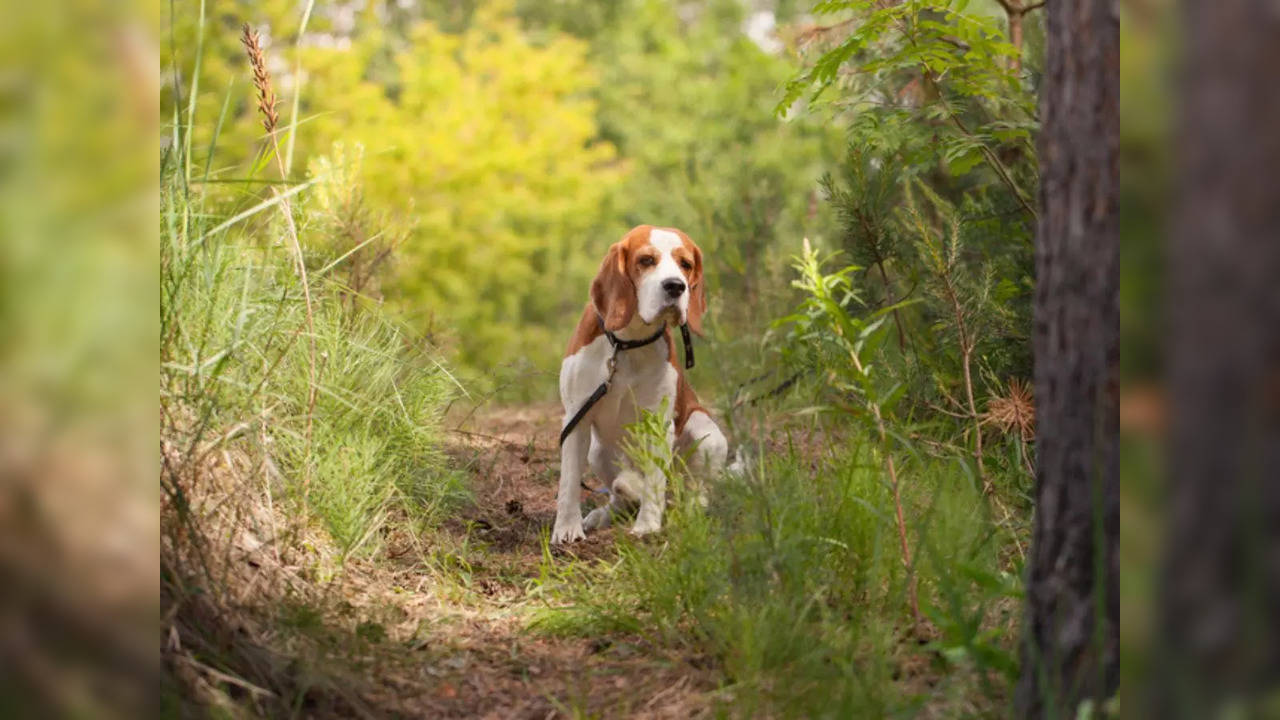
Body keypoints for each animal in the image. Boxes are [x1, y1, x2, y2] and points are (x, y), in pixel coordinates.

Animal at [552, 221, 732, 540]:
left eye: (686, 264)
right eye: (646, 260)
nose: (675, 286)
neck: (627, 343)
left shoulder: (658, 422)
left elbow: (654, 479)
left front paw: (647, 525)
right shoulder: (576, 418)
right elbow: (569, 482)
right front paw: (566, 529)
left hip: (705, 431)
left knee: (694, 491)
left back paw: (689, 508)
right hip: (597, 450)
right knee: (619, 494)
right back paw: (605, 511)